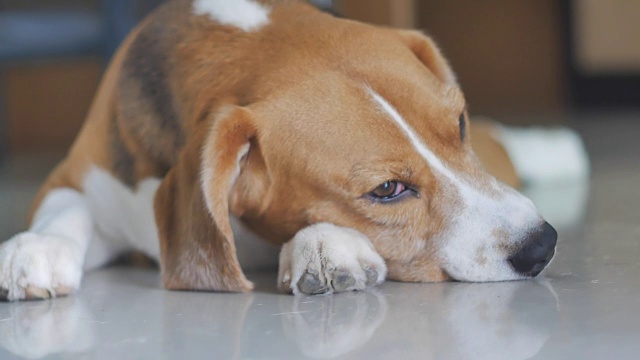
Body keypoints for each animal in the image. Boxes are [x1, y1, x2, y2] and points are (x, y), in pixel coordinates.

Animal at [0, 0, 556, 300]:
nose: (542, 244)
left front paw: (324, 244)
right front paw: (36, 249)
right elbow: (66, 208)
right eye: (387, 190)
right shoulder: (81, 175)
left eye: (457, 124)